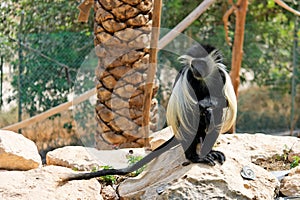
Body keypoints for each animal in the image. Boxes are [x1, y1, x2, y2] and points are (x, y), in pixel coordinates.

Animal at [61, 44, 237, 182]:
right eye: (194, 64)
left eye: (201, 63)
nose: (196, 70)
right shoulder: (189, 77)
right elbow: (191, 108)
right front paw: (205, 107)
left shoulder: (220, 76)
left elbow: (223, 101)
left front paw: (209, 105)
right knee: (192, 120)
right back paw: (195, 156)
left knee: (216, 116)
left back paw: (209, 148)